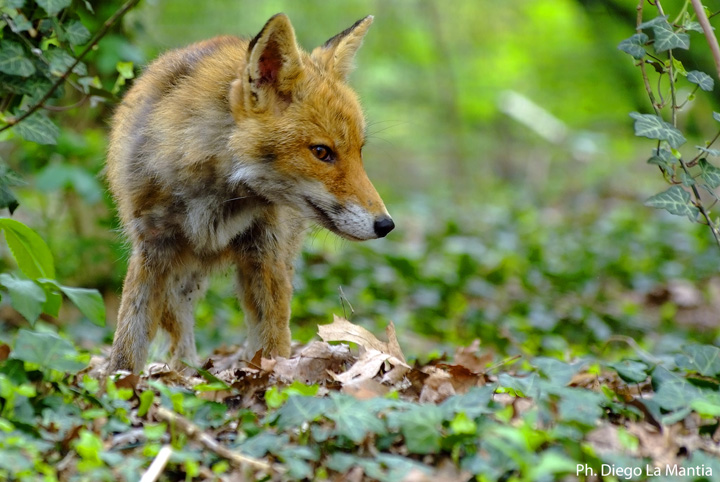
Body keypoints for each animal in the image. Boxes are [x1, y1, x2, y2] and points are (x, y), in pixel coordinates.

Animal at [107, 12, 394, 372]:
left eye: (359, 151)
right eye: (322, 152)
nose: (386, 225)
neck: (214, 196)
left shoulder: (265, 251)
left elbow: (273, 338)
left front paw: (275, 377)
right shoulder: (152, 247)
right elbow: (128, 340)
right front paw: (117, 383)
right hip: (179, 275)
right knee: (180, 329)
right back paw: (185, 369)